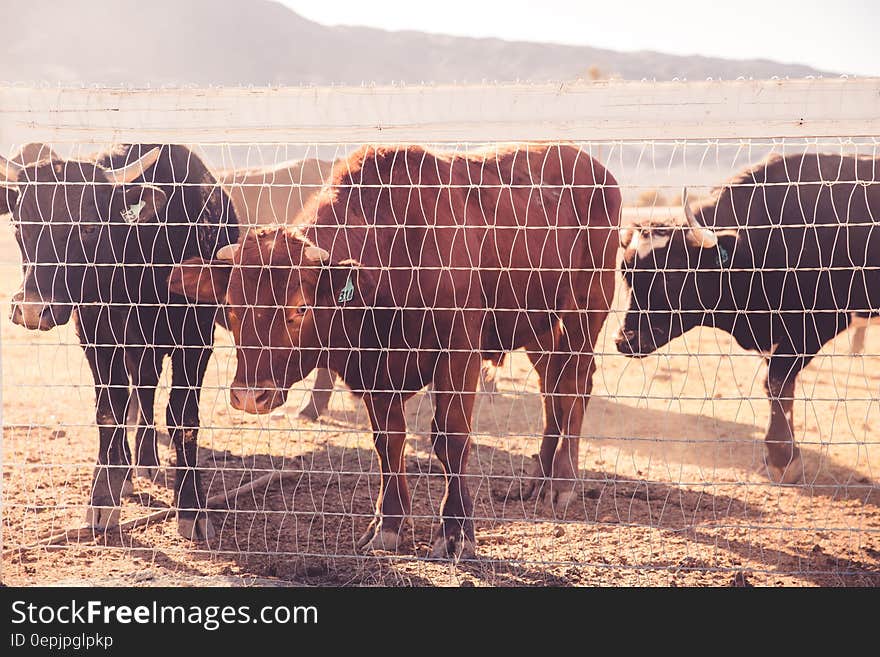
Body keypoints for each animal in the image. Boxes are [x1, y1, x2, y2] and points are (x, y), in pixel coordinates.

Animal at [0, 142, 239, 540]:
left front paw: (192, 507)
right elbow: (108, 410)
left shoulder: (197, 338)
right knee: (136, 391)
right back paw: (123, 470)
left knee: (145, 389)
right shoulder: (95, 334)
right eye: (20, 226)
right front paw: (102, 498)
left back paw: (144, 461)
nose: (32, 309)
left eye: (87, 226)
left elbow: (183, 418)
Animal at [170, 145, 620, 560]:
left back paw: (563, 483)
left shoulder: (459, 351)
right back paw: (537, 479)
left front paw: (456, 533)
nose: (250, 395)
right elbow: (389, 442)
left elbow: (451, 438)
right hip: (538, 327)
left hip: (585, 310)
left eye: (299, 307)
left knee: (572, 389)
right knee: (551, 389)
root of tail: (596, 168)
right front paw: (387, 524)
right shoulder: (374, 371)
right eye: (231, 307)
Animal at [616, 152, 880, 482]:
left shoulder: (813, 326)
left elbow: (777, 382)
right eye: (625, 273)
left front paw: (782, 457)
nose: (624, 339)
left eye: (673, 276)